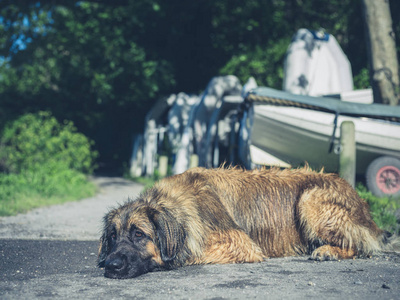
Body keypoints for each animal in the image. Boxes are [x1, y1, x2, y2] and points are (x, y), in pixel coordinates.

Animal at [98, 166, 390, 278]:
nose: (111, 265)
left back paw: (328, 251)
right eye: (113, 236)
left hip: (310, 198)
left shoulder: (239, 242)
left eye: (139, 234)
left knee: (361, 244)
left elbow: (189, 252)